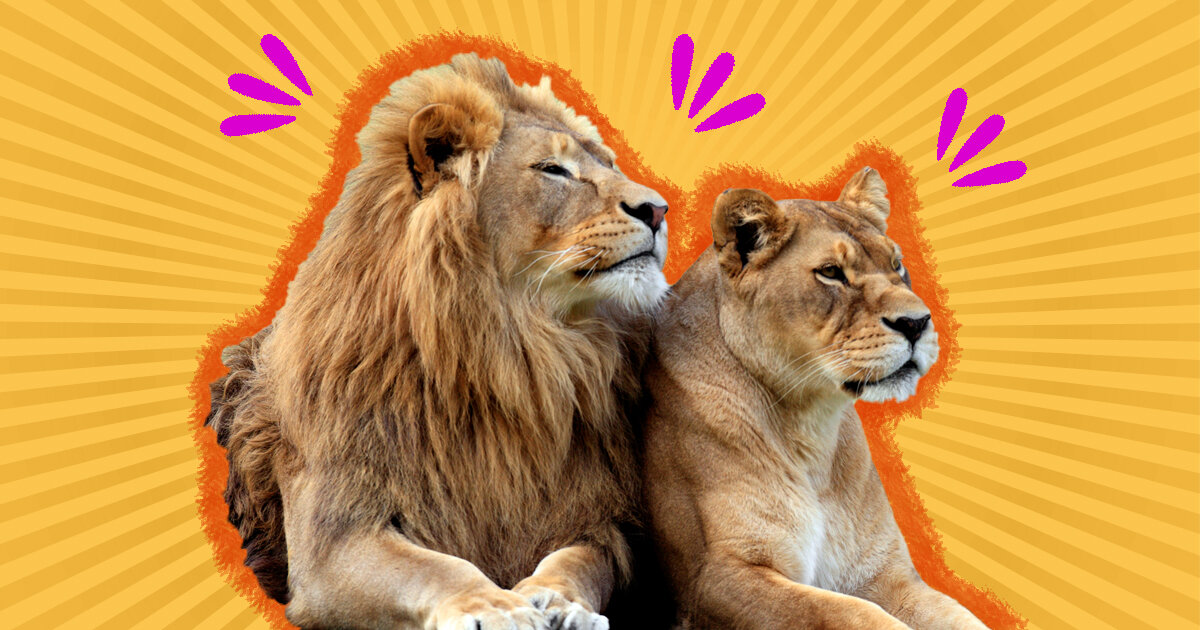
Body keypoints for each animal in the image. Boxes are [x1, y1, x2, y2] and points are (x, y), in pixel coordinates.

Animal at [206, 53, 671, 630]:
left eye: (607, 164)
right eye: (553, 170)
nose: (659, 209)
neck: (514, 357)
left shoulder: (600, 517)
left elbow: (579, 560)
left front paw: (559, 600)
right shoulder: (332, 538)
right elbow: (434, 567)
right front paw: (495, 606)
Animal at [640, 169, 987, 629]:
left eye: (897, 265)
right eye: (831, 272)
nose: (917, 323)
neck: (810, 427)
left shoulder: (885, 574)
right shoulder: (715, 577)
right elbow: (845, 612)